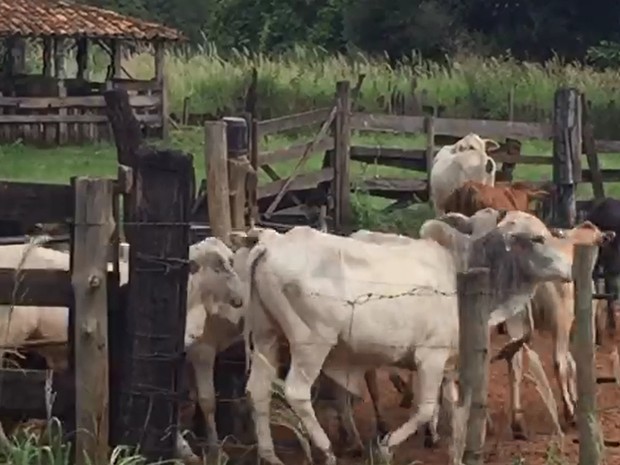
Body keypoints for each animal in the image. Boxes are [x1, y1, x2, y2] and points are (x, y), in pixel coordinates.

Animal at [242, 223, 572, 462]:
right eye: (538, 239)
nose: (569, 270)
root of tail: (270, 243)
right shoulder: (430, 357)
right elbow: (425, 408)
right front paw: (386, 446)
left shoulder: (447, 363)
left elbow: (453, 406)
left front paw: (449, 446)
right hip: (311, 344)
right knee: (297, 392)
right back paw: (325, 449)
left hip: (266, 336)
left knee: (257, 390)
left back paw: (269, 455)